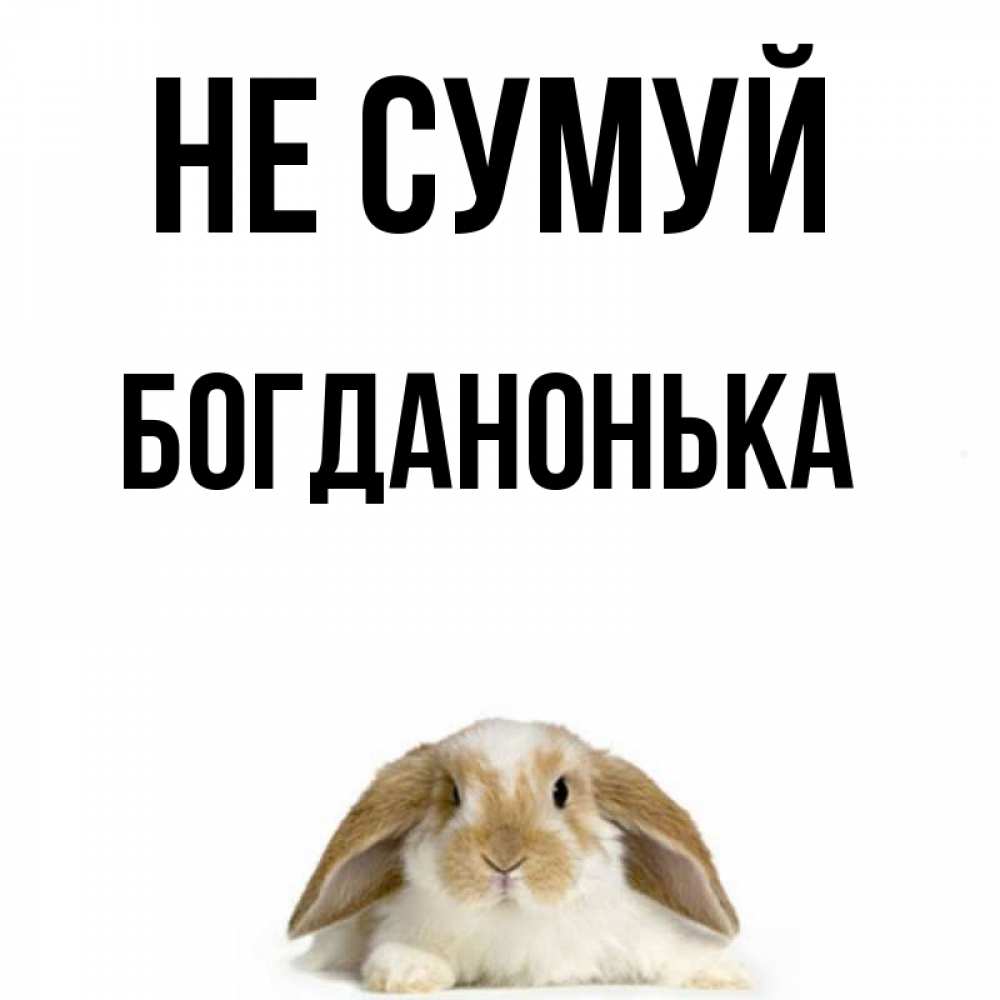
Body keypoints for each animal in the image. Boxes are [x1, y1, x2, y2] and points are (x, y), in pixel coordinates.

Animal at [288, 719, 750, 991]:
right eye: (453, 795)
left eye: (561, 791)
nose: (504, 859)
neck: (514, 919)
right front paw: (409, 973)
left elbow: (674, 950)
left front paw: (725, 973)